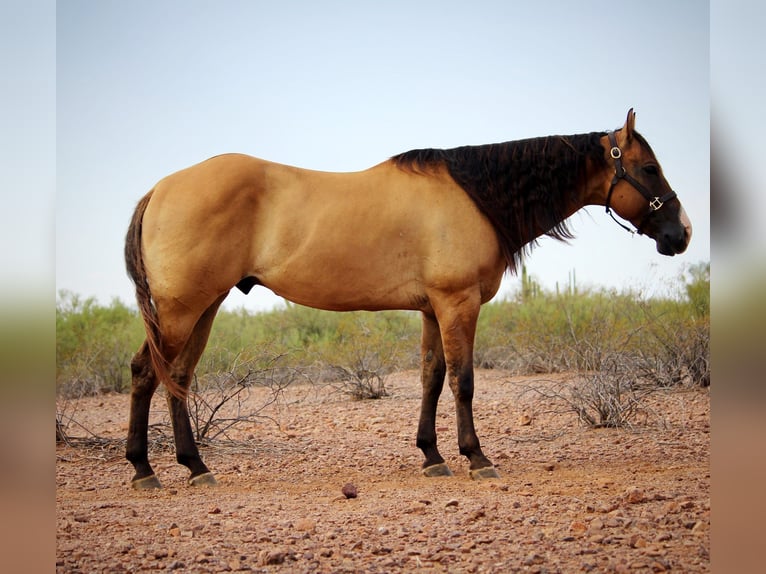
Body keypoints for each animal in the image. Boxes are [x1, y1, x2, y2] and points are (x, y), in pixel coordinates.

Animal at [124, 109, 691, 489]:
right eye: (648, 168)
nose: (681, 234)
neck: (475, 196)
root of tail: (160, 188)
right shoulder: (458, 303)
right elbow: (463, 382)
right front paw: (476, 458)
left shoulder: (431, 309)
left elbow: (432, 380)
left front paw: (432, 457)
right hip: (179, 312)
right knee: (148, 373)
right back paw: (144, 469)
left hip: (204, 307)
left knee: (177, 378)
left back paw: (194, 467)